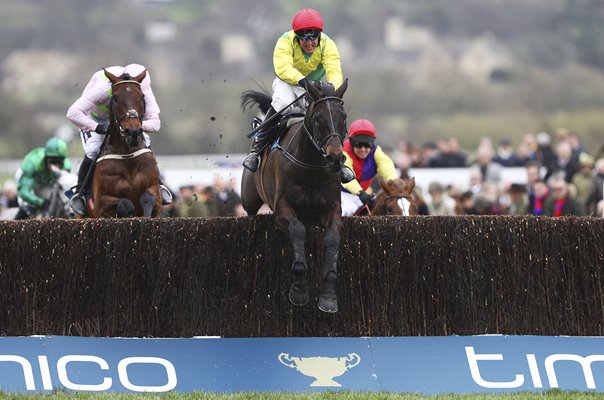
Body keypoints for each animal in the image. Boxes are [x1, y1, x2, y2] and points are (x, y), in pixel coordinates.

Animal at [238, 79, 346, 314]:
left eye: (343, 117)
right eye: (317, 118)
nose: (335, 158)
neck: (311, 168)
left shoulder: (333, 207)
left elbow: (333, 239)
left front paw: (328, 296)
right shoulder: (282, 209)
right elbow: (297, 231)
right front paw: (299, 289)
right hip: (249, 200)